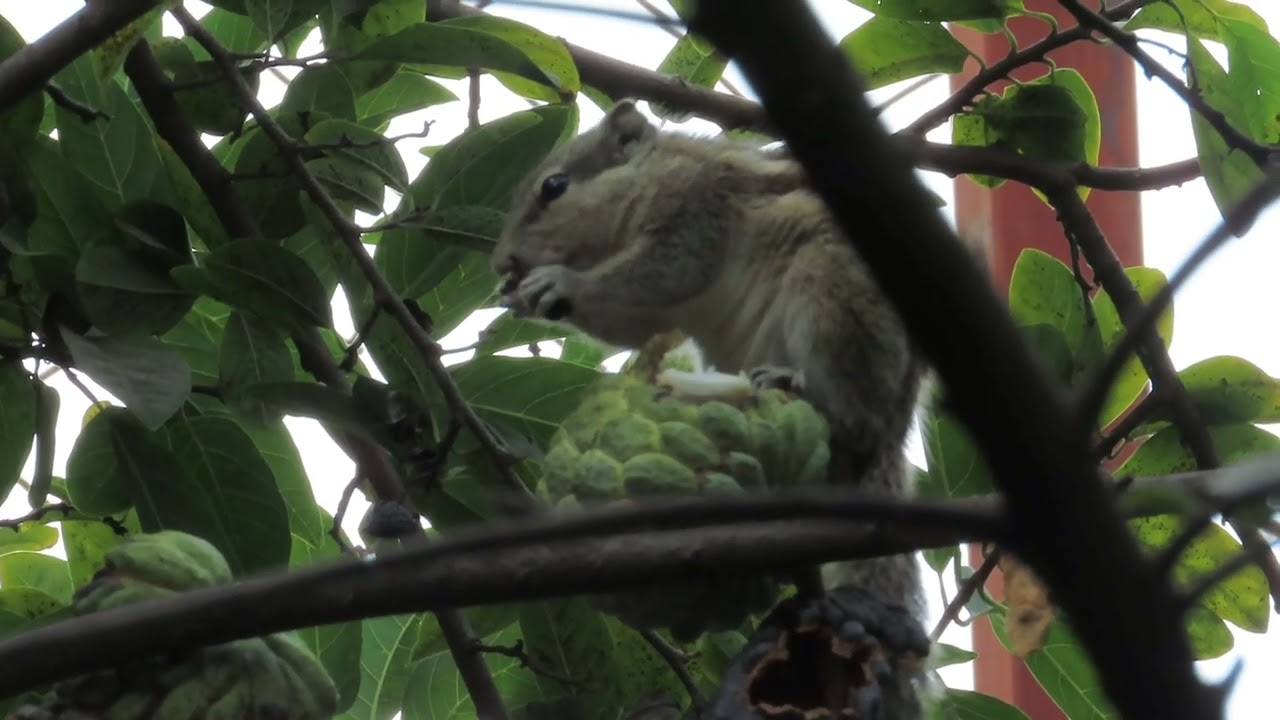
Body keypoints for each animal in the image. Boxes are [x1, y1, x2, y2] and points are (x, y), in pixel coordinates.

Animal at [492, 99, 943, 717]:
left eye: (554, 187)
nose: (501, 264)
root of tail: (893, 433)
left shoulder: (693, 212)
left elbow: (661, 271)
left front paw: (560, 282)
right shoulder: (648, 303)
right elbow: (632, 319)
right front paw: (531, 298)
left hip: (834, 293)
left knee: (854, 416)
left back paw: (794, 386)